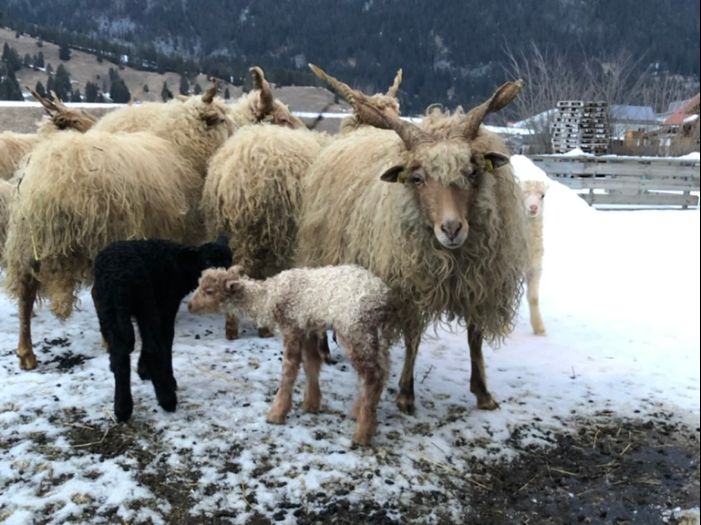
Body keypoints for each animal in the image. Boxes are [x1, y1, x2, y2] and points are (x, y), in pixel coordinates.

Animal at [91, 235, 230, 420]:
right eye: (208, 261)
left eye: (229, 260)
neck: (181, 267)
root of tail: (117, 279)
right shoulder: (167, 304)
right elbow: (165, 339)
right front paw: (165, 378)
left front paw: (143, 370)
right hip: (144, 301)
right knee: (153, 348)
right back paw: (167, 399)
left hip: (107, 309)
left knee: (119, 353)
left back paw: (122, 409)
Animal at [189, 264, 396, 444]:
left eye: (209, 291)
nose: (190, 306)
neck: (268, 298)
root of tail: (384, 298)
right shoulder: (309, 328)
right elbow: (311, 364)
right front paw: (311, 404)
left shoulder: (292, 326)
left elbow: (289, 370)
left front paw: (277, 413)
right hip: (371, 334)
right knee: (383, 369)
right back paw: (360, 411)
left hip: (354, 328)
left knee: (373, 375)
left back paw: (363, 432)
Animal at [296, 64, 532, 414]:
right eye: (417, 178)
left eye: (473, 172)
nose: (452, 228)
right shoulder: (409, 284)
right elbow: (413, 337)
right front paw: (406, 393)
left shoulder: (479, 282)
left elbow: (474, 337)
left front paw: (482, 391)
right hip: (322, 250)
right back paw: (324, 349)